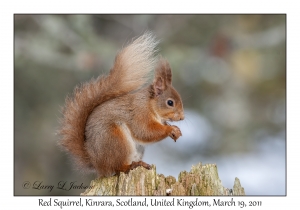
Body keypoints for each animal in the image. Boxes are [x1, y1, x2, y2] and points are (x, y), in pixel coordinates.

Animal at [58, 32, 184, 177]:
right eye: (170, 102)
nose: (182, 117)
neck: (149, 104)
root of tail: (97, 164)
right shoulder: (139, 114)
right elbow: (145, 131)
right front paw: (170, 129)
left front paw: (175, 129)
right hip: (116, 140)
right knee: (118, 167)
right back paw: (134, 165)